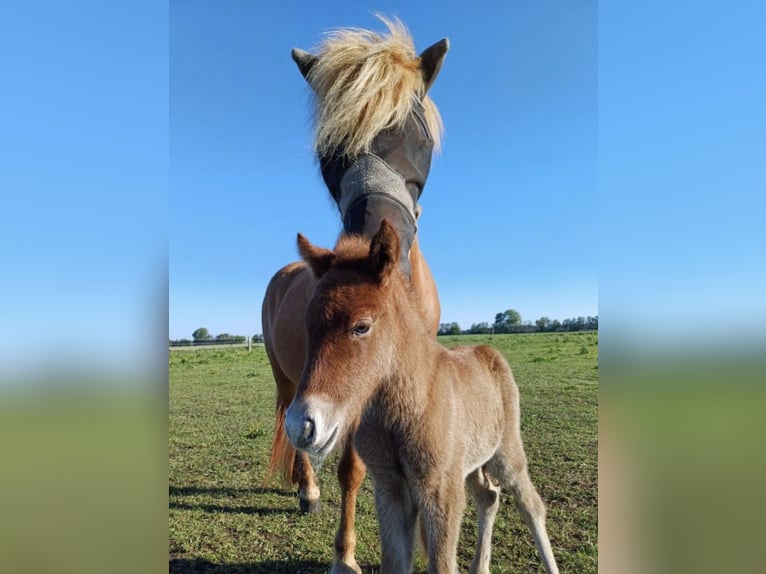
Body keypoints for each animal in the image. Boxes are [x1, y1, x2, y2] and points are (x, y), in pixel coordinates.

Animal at [261, 17, 448, 574]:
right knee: (291, 423)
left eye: (413, 134)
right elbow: (352, 470)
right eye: (330, 152)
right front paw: (344, 553)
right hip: (287, 380)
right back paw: (306, 489)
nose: (366, 251)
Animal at [285, 221, 560, 574]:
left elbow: (442, 563)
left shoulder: (440, 490)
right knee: (488, 497)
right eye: (308, 325)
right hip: (471, 464)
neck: (408, 408)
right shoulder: (390, 489)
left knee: (531, 505)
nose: (300, 426)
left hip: (506, 454)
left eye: (361, 326)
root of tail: (488, 351)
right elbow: (395, 563)